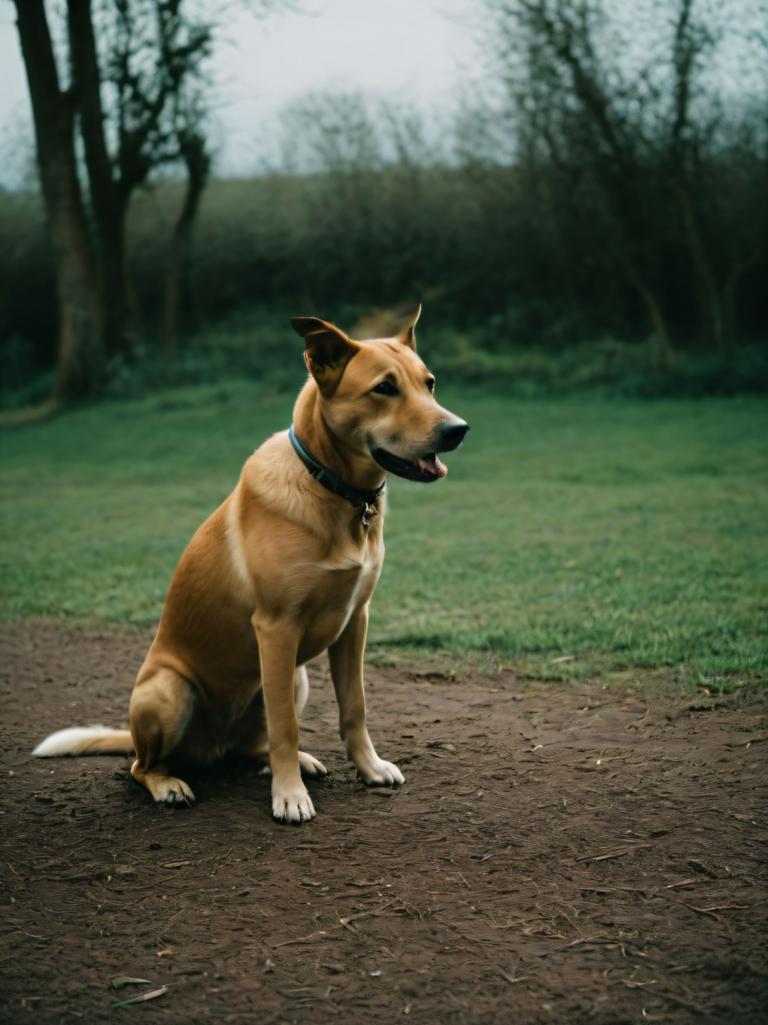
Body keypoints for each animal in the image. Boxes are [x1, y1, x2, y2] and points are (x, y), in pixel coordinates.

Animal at [33, 305, 467, 824]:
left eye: (430, 383)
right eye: (384, 387)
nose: (458, 430)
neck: (333, 488)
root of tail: (212, 746)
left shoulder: (354, 623)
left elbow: (354, 709)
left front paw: (369, 768)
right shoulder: (276, 629)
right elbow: (286, 725)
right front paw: (289, 796)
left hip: (294, 676)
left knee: (252, 745)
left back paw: (293, 762)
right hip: (171, 691)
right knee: (142, 765)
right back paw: (170, 784)